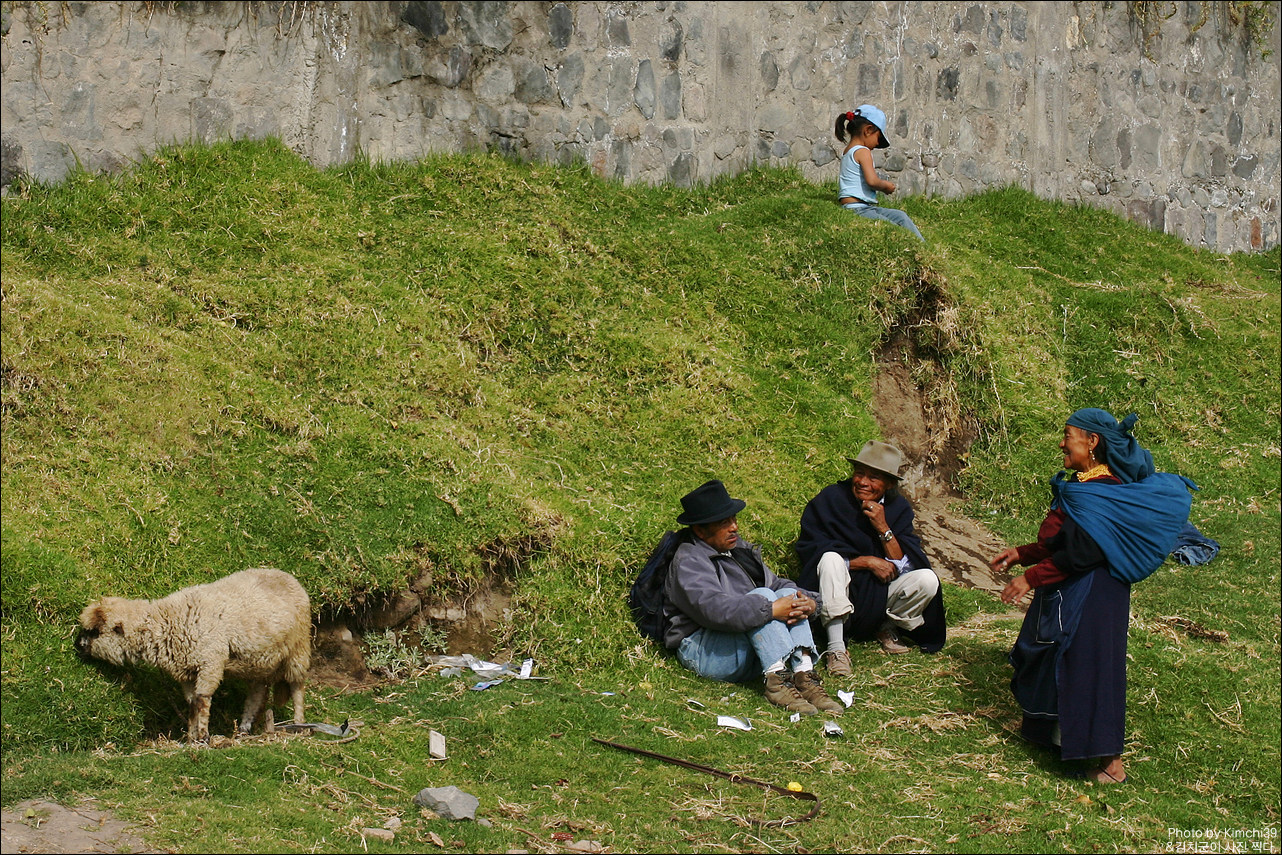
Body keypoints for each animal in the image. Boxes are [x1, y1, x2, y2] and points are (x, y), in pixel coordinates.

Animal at [78, 569, 312, 743]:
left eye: (95, 631)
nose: (77, 645)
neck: (167, 622)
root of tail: (288, 577)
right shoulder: (187, 671)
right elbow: (191, 704)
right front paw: (191, 736)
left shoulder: (210, 663)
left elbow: (202, 700)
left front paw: (203, 736)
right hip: (258, 662)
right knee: (256, 694)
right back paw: (243, 730)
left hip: (298, 649)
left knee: (297, 688)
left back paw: (299, 725)